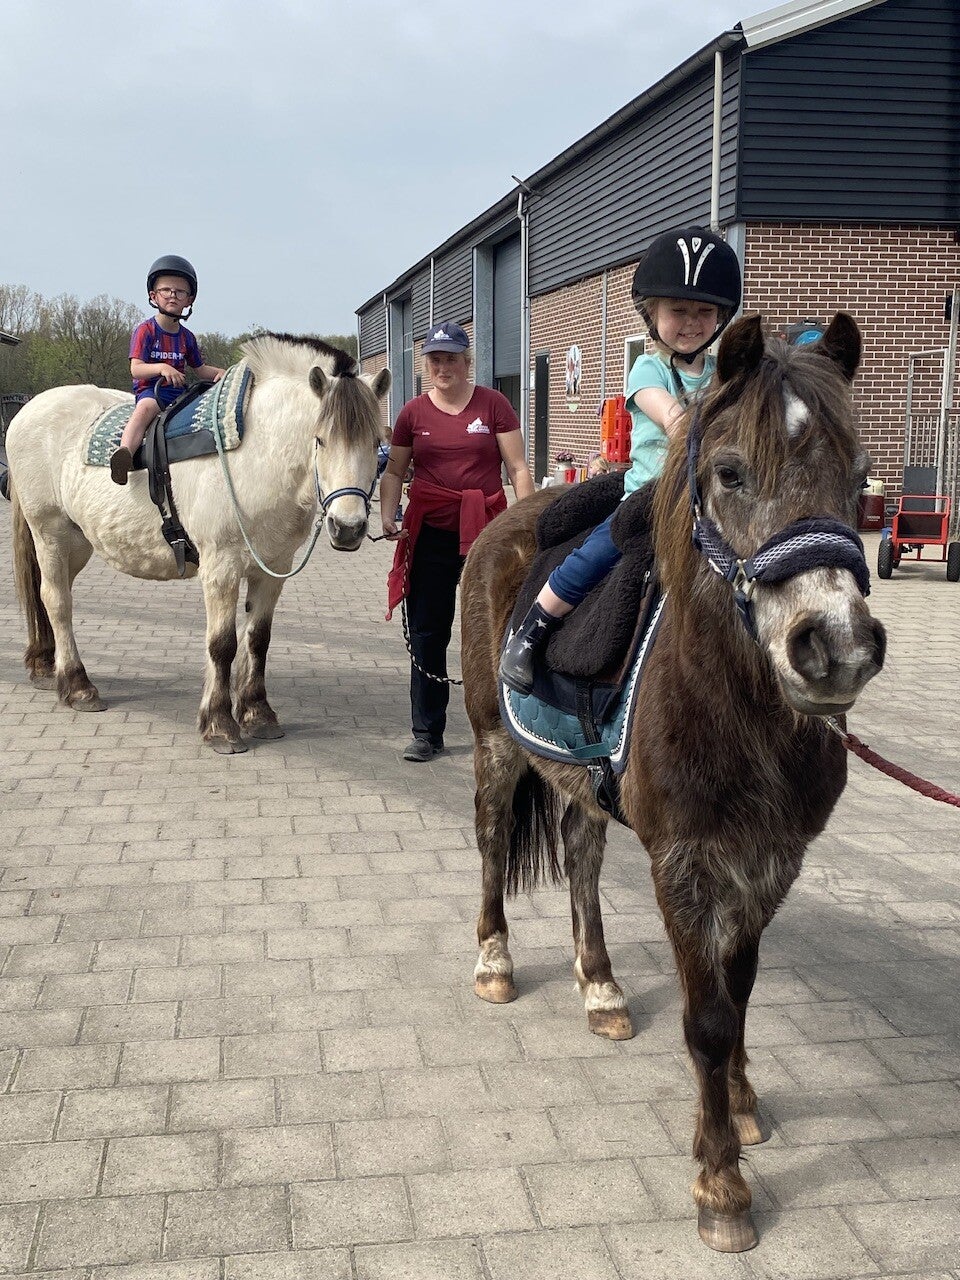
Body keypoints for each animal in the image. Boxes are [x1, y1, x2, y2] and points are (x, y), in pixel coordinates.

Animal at [7, 334, 390, 753]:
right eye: (319, 440)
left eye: (377, 443)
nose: (348, 527)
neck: (255, 455)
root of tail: (28, 411)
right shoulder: (221, 567)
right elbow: (222, 644)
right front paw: (220, 725)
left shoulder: (273, 569)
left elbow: (258, 639)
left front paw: (258, 714)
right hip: (50, 533)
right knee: (57, 601)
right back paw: (77, 687)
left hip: (77, 544)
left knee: (50, 595)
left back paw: (47, 668)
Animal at [459, 313, 886, 1252]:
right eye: (730, 472)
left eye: (860, 476)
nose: (836, 648)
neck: (743, 713)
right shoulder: (683, 865)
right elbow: (708, 1019)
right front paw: (721, 1183)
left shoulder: (769, 861)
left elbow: (742, 993)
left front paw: (742, 1104)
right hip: (492, 746)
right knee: (491, 844)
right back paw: (495, 963)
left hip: (578, 785)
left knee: (581, 860)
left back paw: (601, 987)